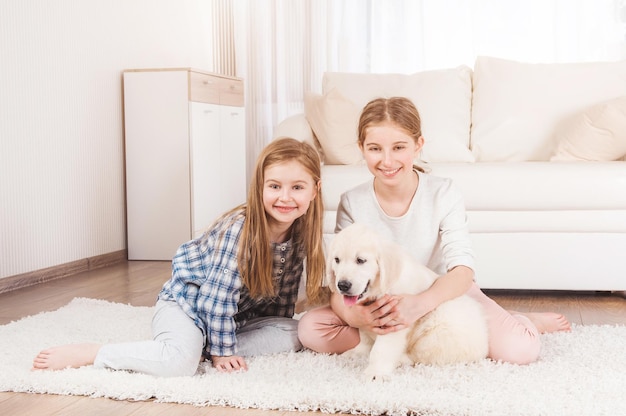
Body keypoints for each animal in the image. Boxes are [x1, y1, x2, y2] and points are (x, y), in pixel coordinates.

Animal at [326, 224, 488, 380]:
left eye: (360, 260)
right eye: (337, 260)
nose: (342, 285)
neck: (380, 289)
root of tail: (484, 346)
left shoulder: (394, 321)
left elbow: (381, 349)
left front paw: (376, 372)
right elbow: (364, 336)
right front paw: (358, 352)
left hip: (437, 333)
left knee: (423, 357)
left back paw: (400, 360)